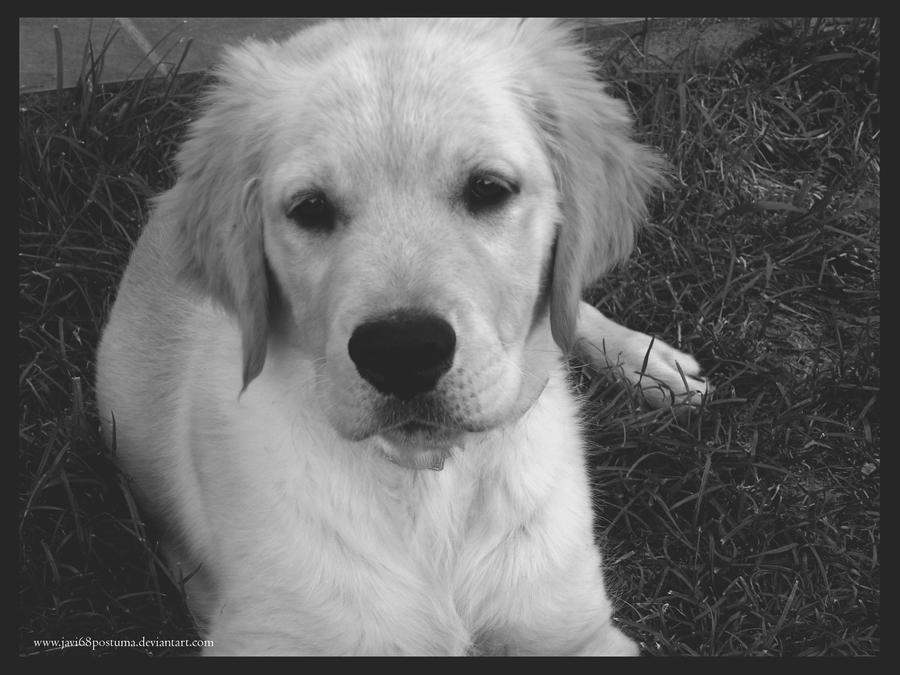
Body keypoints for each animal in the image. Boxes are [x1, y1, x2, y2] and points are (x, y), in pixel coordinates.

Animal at [95, 19, 708, 656]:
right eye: (309, 208)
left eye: (489, 189)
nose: (401, 353)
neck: (428, 483)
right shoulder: (268, 633)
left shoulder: (574, 628)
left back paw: (651, 365)